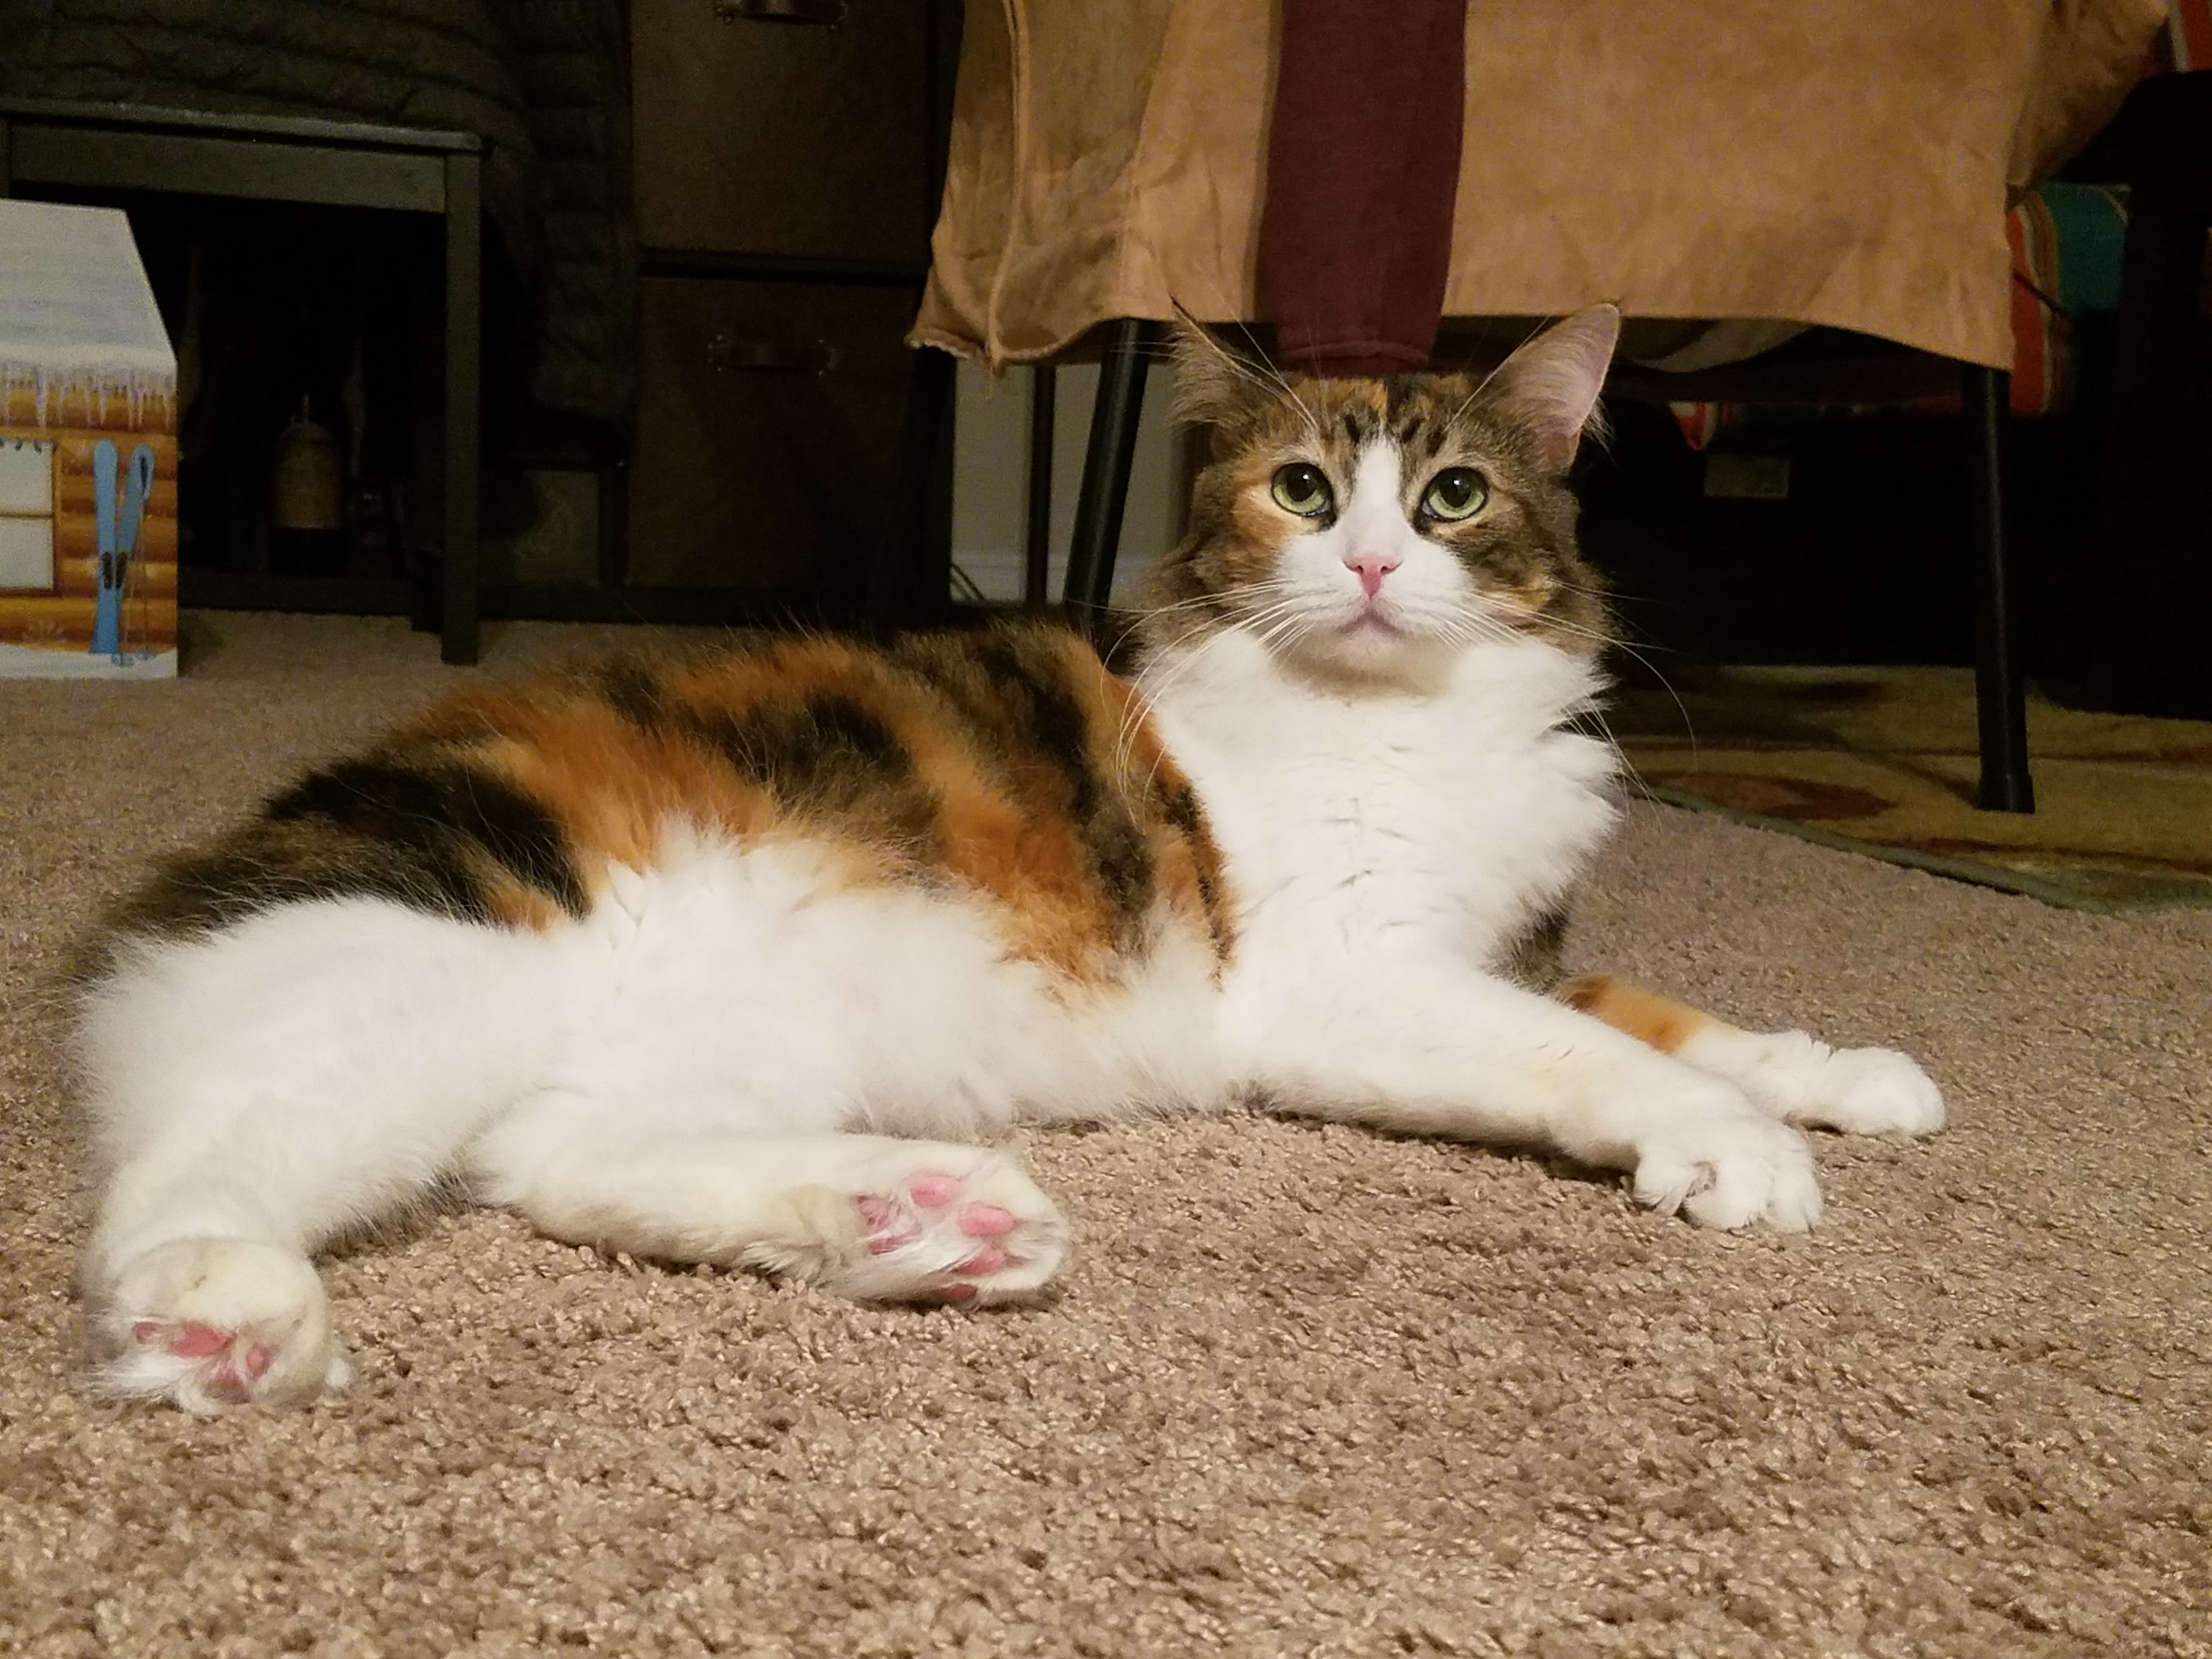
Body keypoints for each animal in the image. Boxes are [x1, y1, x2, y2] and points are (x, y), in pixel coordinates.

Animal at [72, 306, 1944, 1414]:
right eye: (1303, 490)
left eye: (1458, 498)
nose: (1371, 568)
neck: (1411, 719)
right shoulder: (1351, 980)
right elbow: (1593, 1056)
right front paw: (1737, 1147)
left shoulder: (1507, 945)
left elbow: (1673, 1015)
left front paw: (1846, 1078)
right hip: (433, 973)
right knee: (182, 1181)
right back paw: (225, 1316)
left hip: (723, 1048)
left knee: (562, 1164)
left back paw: (916, 1219)